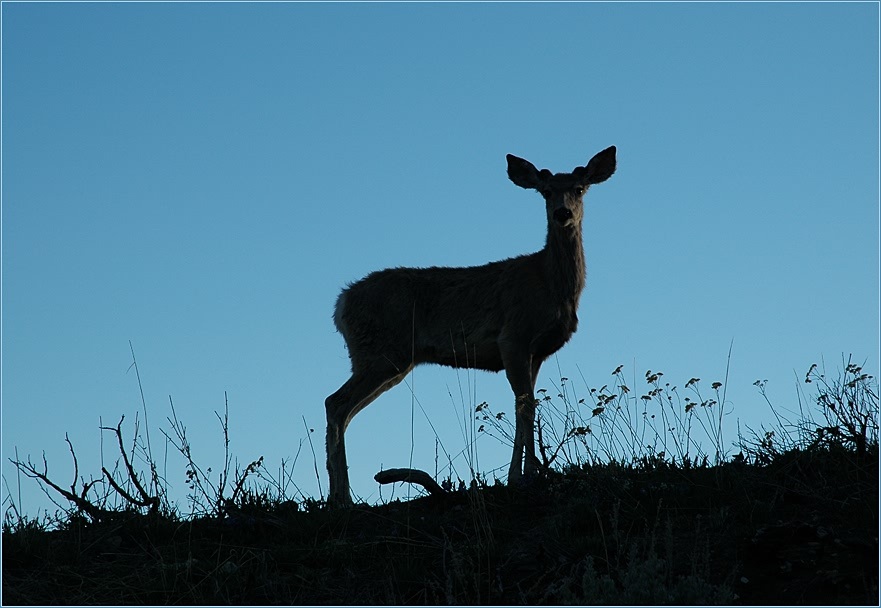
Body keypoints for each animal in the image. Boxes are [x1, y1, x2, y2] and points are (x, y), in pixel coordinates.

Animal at [325, 146, 617, 506]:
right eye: (546, 191)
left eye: (579, 188)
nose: (562, 213)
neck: (550, 285)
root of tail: (341, 303)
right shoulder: (513, 337)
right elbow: (525, 406)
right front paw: (521, 478)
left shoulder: (537, 352)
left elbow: (525, 405)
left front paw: (526, 473)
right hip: (380, 352)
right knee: (335, 403)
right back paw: (341, 498)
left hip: (388, 360)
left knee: (344, 410)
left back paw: (339, 495)